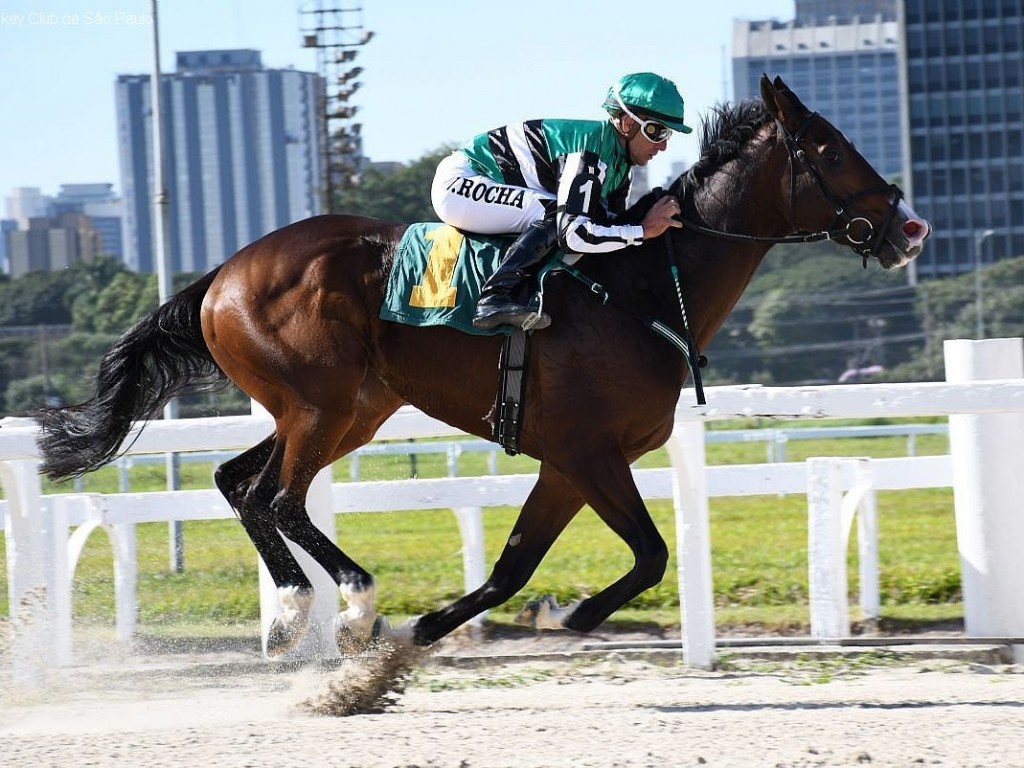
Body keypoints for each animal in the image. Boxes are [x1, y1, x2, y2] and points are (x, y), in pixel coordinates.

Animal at [34, 75, 929, 659]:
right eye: (828, 150)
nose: (910, 228)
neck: (640, 287)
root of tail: (221, 274)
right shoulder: (588, 453)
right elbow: (648, 555)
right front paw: (566, 617)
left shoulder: (568, 465)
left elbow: (515, 568)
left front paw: (454, 625)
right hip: (321, 404)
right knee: (278, 497)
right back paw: (348, 605)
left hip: (346, 408)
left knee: (239, 483)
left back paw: (297, 614)